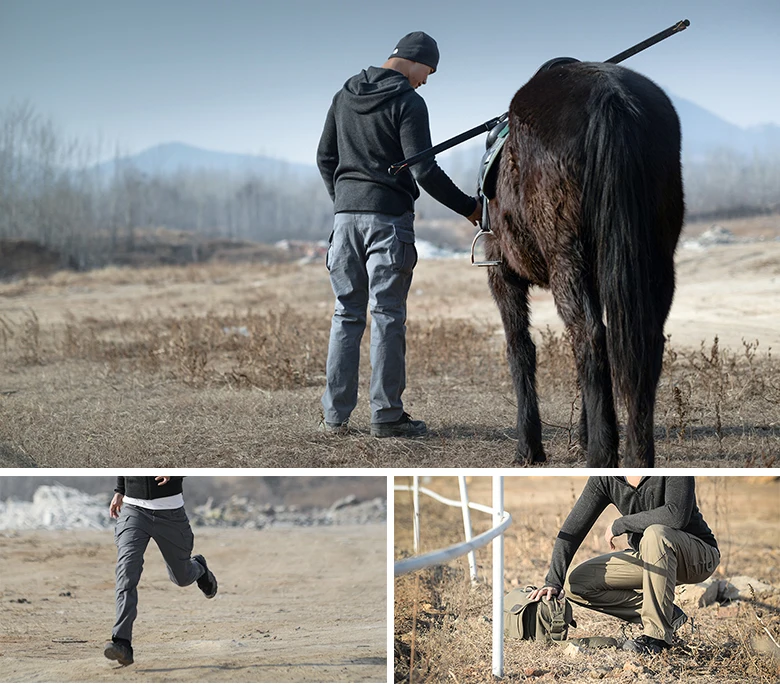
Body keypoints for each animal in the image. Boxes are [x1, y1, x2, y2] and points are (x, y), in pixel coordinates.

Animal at [488, 61, 684, 468]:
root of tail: (609, 96)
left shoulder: (501, 274)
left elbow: (520, 349)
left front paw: (528, 447)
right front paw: (581, 435)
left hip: (567, 260)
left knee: (589, 336)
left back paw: (602, 453)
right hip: (657, 262)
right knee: (643, 341)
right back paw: (636, 454)